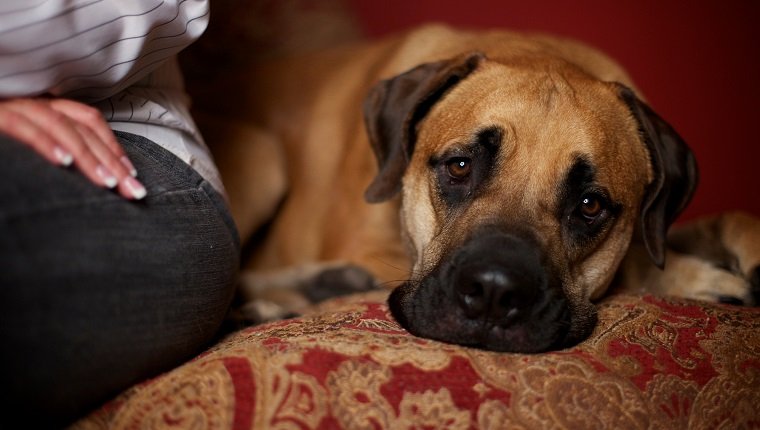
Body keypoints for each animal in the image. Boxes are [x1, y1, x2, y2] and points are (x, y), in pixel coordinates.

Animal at [196, 24, 760, 352]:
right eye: (460, 166)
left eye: (589, 205)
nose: (493, 293)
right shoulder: (371, 247)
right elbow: (639, 263)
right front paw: (697, 276)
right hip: (263, 158)